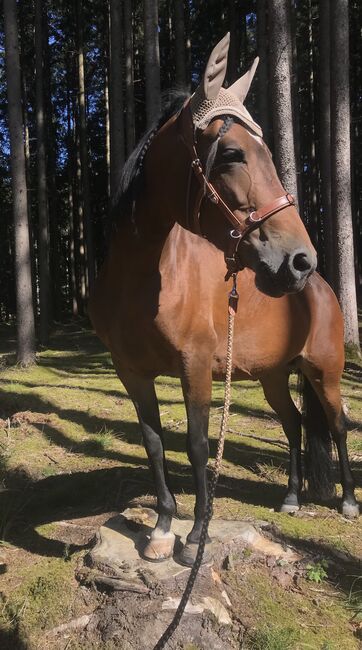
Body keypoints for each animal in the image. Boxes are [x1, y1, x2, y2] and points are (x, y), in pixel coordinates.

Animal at [90, 34, 356, 560]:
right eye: (232, 153)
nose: (300, 260)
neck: (143, 282)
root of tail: (322, 288)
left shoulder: (194, 367)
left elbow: (197, 445)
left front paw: (196, 535)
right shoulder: (131, 373)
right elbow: (154, 442)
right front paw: (161, 528)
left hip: (326, 372)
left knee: (337, 425)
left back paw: (349, 502)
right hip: (273, 376)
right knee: (294, 424)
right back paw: (291, 498)